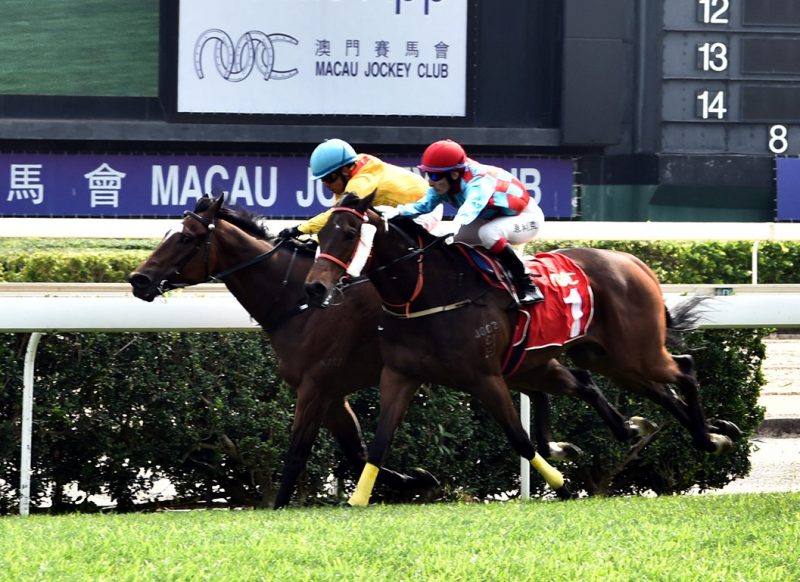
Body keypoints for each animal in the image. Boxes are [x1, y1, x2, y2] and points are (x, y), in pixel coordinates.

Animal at [128, 194, 441, 508]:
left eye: (185, 238)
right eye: (167, 234)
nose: (138, 279)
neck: (301, 303)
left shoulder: (314, 387)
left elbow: (296, 455)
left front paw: (278, 506)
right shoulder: (333, 394)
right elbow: (357, 453)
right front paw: (419, 480)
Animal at [303, 192, 742, 506]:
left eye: (348, 235)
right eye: (320, 234)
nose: (315, 288)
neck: (429, 292)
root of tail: (633, 260)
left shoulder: (485, 378)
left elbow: (520, 439)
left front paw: (563, 486)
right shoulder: (400, 375)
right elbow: (378, 445)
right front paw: (360, 500)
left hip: (635, 351)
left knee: (683, 369)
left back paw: (708, 437)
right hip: (606, 358)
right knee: (637, 388)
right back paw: (677, 430)